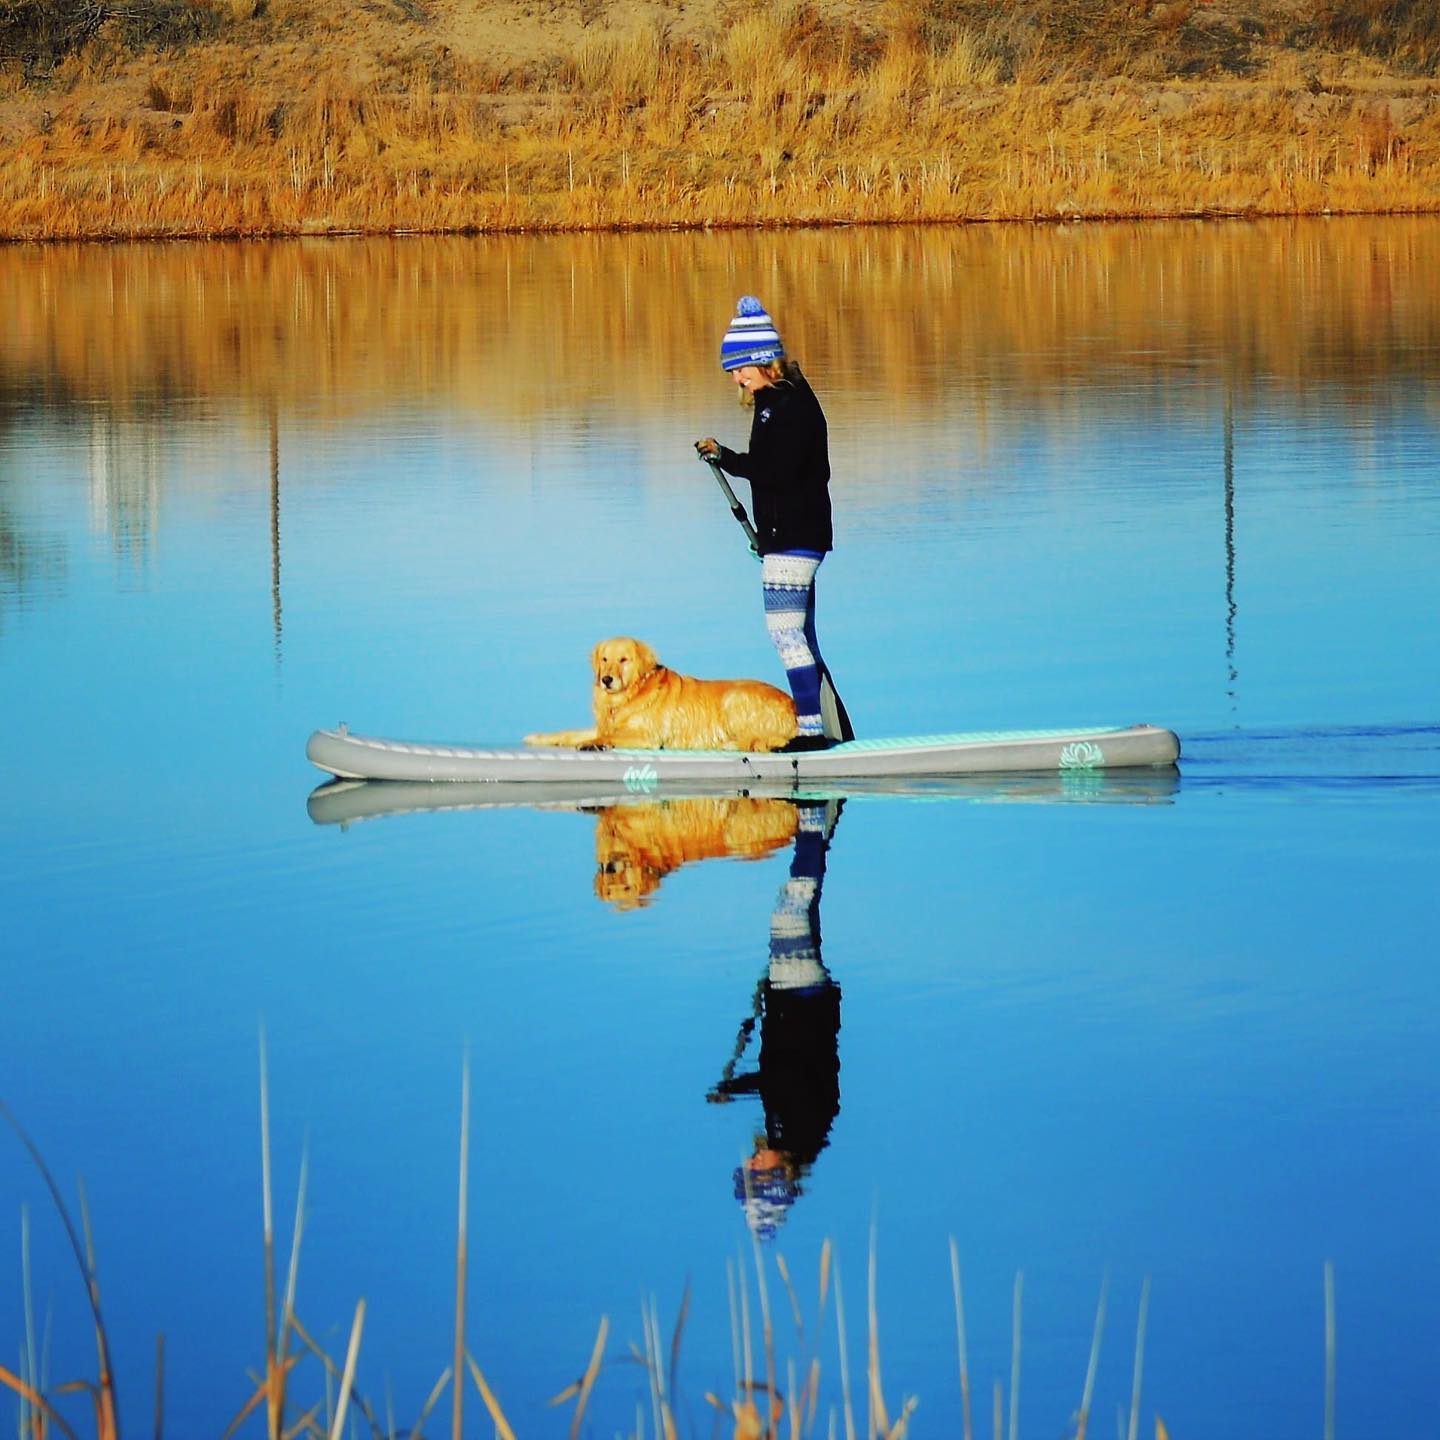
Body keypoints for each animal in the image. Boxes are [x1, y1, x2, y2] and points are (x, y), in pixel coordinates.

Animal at [527, 639, 800, 754]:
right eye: (605, 659)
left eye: (624, 660)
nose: (607, 679)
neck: (629, 695)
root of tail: (793, 704)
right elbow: (570, 733)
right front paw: (539, 737)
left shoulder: (646, 735)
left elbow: (609, 735)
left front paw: (594, 743)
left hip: (734, 698)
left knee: (769, 739)